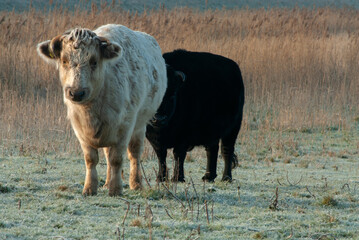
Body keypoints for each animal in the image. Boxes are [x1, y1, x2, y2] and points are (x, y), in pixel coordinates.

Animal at [37, 24, 167, 196]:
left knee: (134, 154)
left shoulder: (125, 126)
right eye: (64, 61)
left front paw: (116, 189)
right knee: (107, 154)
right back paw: (106, 183)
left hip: (140, 125)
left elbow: (117, 158)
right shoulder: (79, 129)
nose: (76, 92)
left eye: (94, 61)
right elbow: (91, 159)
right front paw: (90, 188)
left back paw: (136, 183)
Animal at [146, 50, 245, 182]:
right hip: (212, 132)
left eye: (172, 95)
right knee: (212, 150)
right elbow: (161, 156)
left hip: (233, 129)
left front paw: (177, 178)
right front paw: (161, 178)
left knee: (226, 151)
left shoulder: (183, 138)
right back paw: (208, 176)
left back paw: (226, 177)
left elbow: (178, 155)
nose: (158, 119)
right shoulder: (155, 140)